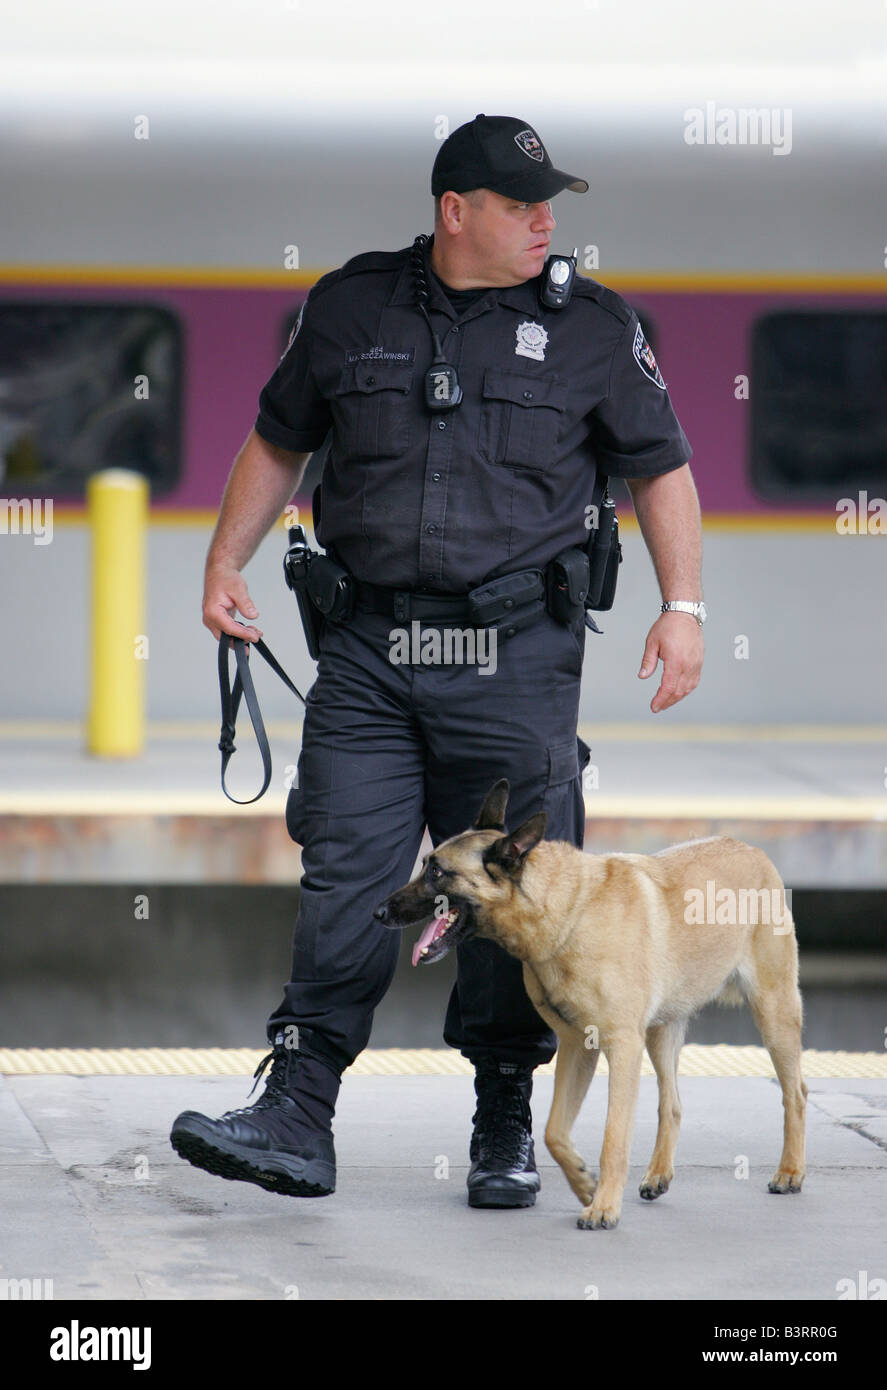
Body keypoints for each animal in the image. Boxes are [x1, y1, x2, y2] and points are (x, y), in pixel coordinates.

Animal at [375, 783, 806, 1228]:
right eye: (425, 865)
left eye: (436, 872)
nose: (379, 911)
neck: (567, 912)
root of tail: (751, 849)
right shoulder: (578, 1047)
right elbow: (553, 1131)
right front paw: (584, 1183)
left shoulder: (622, 1048)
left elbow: (613, 1136)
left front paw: (603, 1207)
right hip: (661, 1033)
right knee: (671, 1104)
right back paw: (658, 1175)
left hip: (774, 1012)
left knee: (796, 1093)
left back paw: (790, 1171)